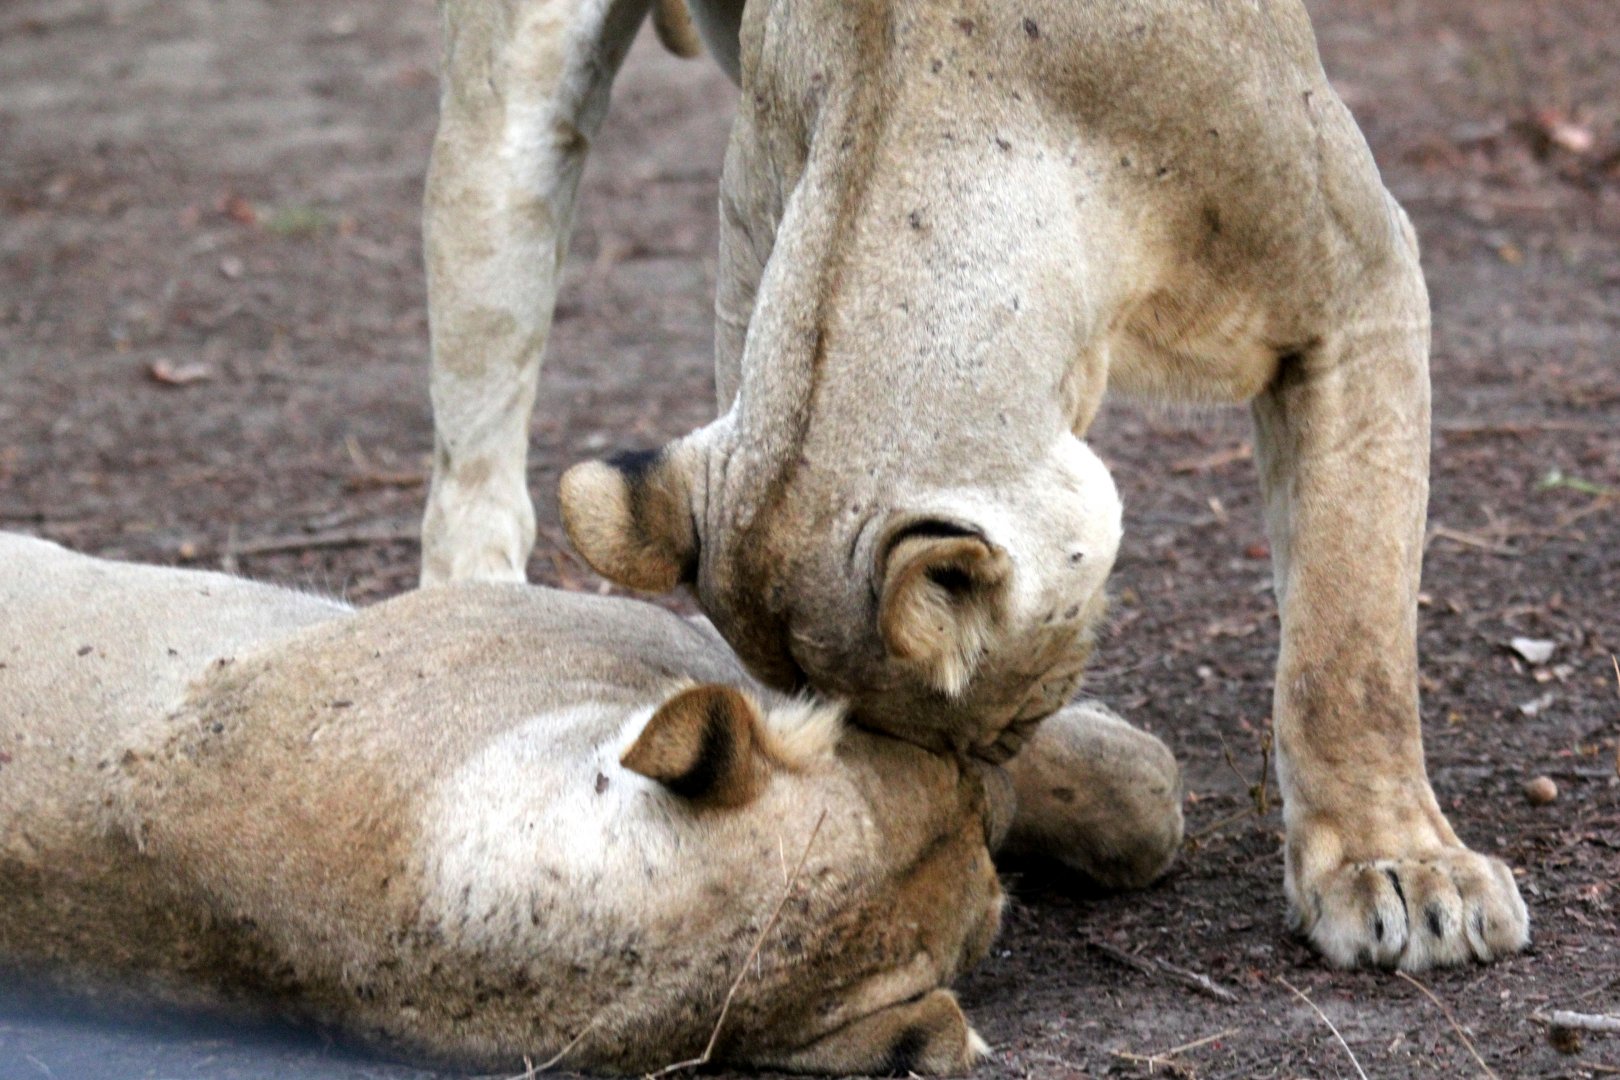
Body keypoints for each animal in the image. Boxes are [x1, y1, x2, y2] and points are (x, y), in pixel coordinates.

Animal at [417, 0, 1527, 972]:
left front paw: (1397, 868)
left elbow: (1348, 636)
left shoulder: (1357, 284)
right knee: (470, 475)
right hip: (507, 130)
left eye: (1008, 723)